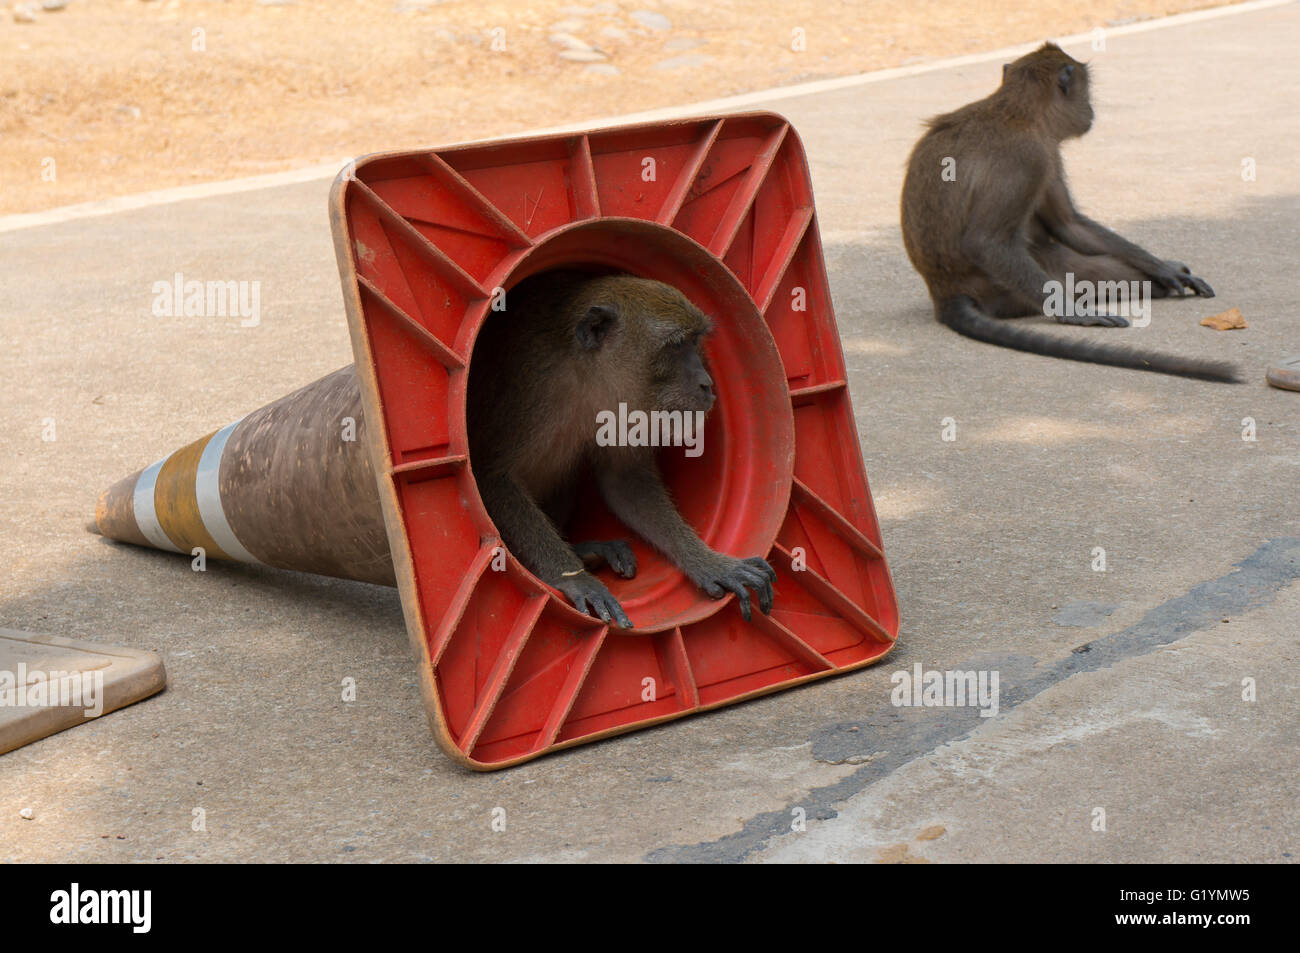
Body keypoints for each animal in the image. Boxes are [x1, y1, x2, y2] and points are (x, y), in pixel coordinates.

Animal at [467, 273, 769, 631]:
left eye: (694, 341)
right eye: (676, 345)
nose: (706, 383)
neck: (584, 373)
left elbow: (624, 480)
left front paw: (710, 563)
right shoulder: (527, 388)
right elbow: (493, 475)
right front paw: (575, 579)